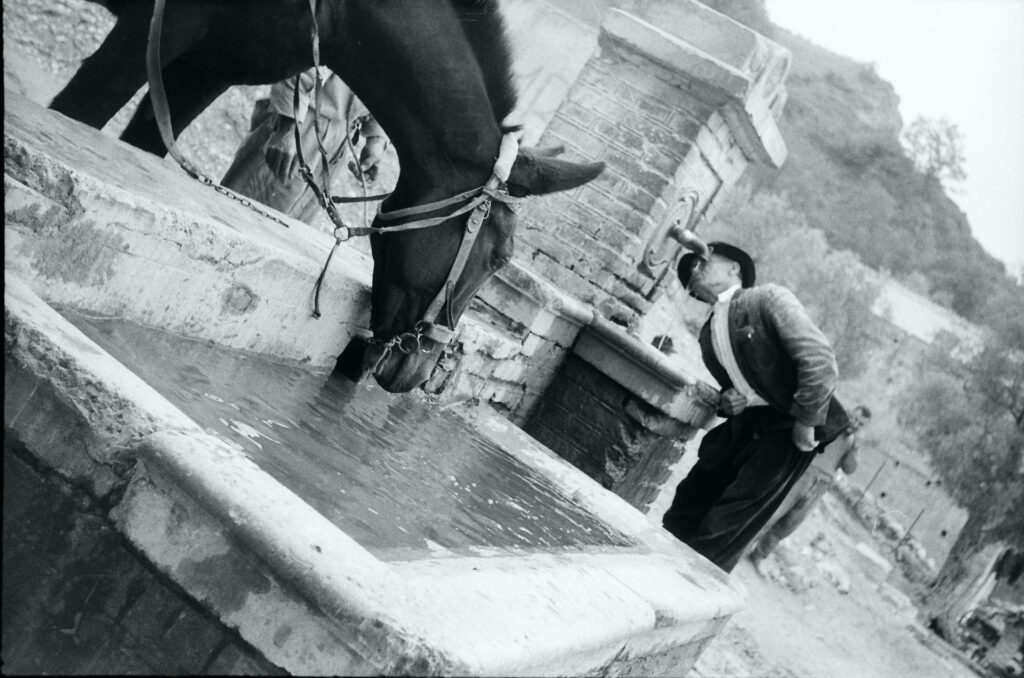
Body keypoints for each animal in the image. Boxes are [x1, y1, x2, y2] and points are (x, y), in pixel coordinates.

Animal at [50, 0, 605, 393]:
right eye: (497, 258)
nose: (424, 374)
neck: (340, 10)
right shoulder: (160, 25)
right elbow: (80, 107)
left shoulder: (206, 66)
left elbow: (144, 138)